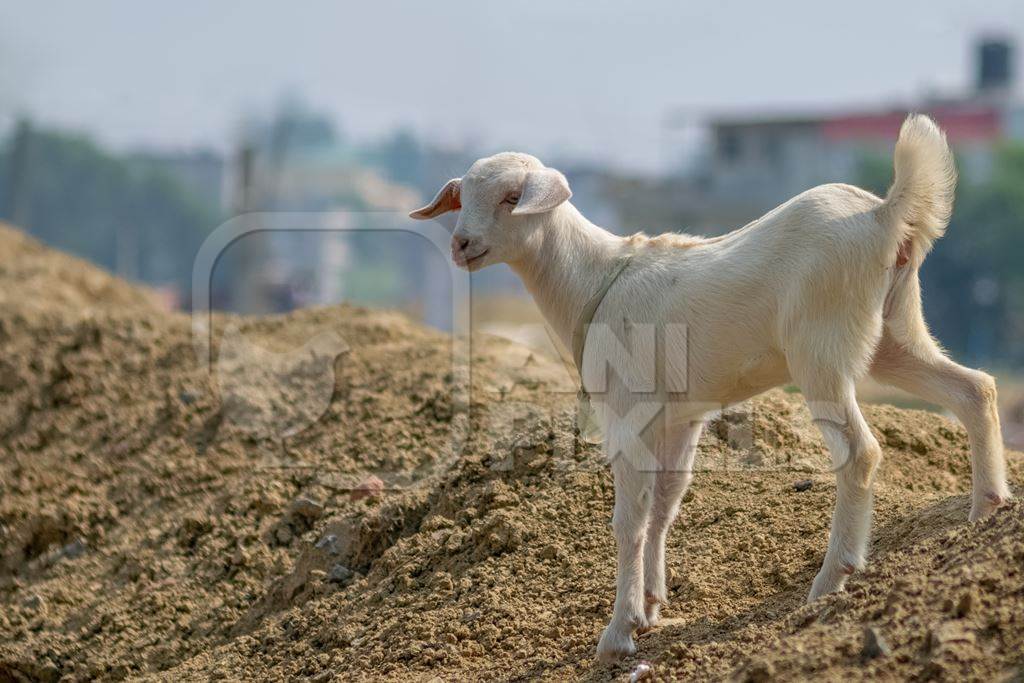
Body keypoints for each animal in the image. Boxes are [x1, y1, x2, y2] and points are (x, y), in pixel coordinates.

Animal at [409, 114, 1015, 663]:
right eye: (462, 198)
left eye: (513, 197)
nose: (462, 244)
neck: (596, 279)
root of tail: (885, 215)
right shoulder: (680, 417)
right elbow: (665, 503)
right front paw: (652, 605)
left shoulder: (627, 412)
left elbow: (629, 519)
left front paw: (618, 633)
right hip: (896, 329)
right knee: (975, 389)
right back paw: (986, 509)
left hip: (821, 347)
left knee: (860, 452)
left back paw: (832, 577)